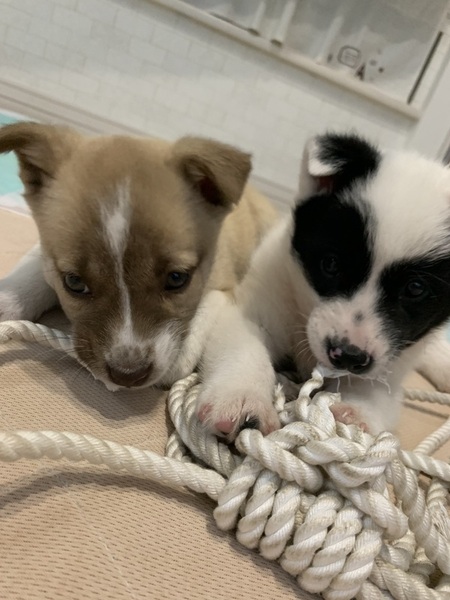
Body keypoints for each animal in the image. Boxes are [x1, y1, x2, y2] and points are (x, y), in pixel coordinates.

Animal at [0, 122, 277, 391]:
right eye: (74, 282)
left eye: (177, 278)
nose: (128, 375)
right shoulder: (48, 254)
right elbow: (36, 267)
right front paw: (8, 298)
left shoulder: (225, 285)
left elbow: (202, 315)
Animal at [197, 132, 450, 437]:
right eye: (330, 264)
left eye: (415, 288)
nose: (348, 357)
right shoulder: (258, 303)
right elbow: (246, 345)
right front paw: (242, 397)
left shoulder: (394, 357)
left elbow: (380, 391)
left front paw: (356, 416)